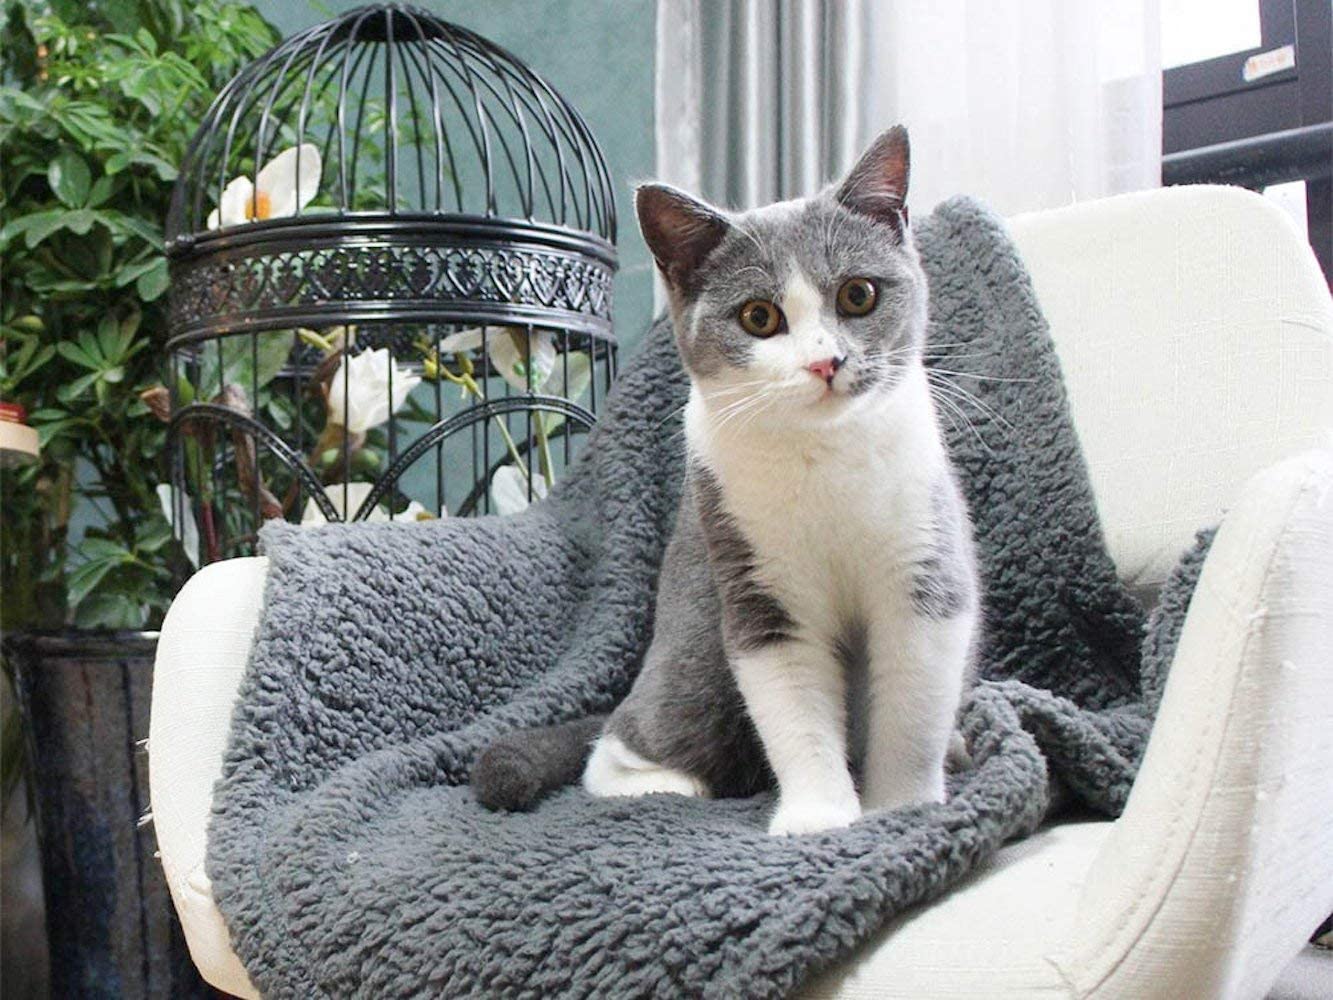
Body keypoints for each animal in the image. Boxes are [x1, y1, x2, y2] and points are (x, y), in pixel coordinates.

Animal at [471, 131, 981, 837]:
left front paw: (900, 806)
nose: (826, 362)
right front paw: (819, 818)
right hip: (693, 649)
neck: (824, 454)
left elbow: (914, 704)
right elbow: (791, 697)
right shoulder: (752, 579)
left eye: (858, 295)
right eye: (759, 316)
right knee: (624, 739)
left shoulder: (927, 563)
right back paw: (661, 785)